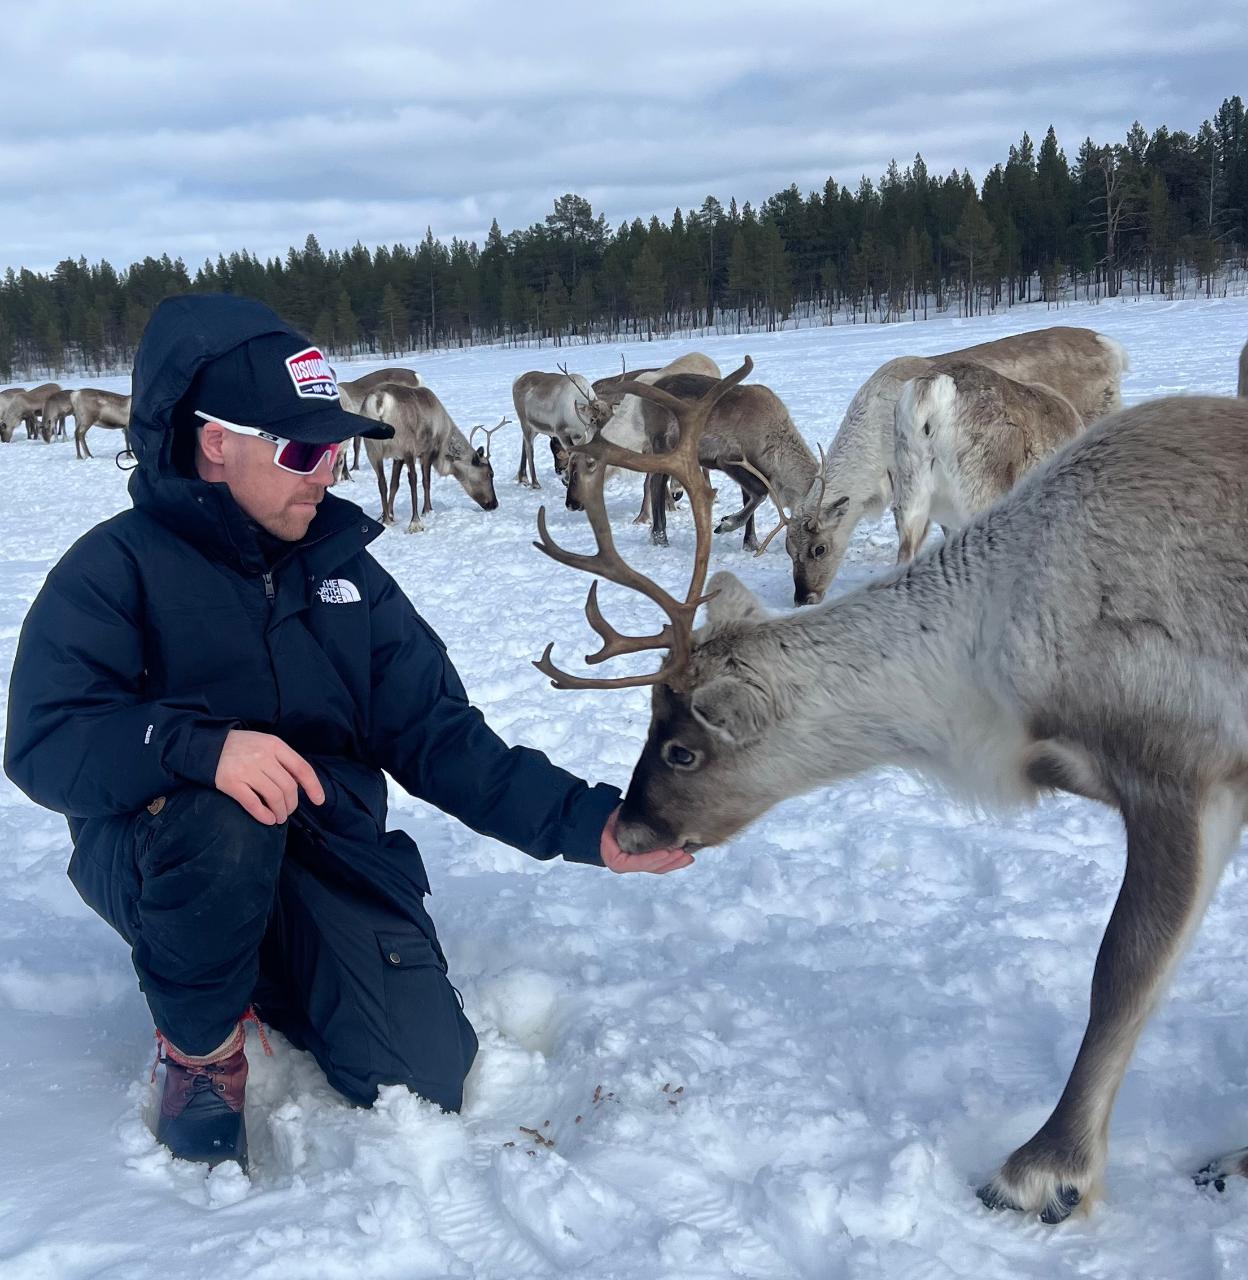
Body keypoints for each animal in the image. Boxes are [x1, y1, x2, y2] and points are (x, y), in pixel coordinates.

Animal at [357, 385, 501, 532]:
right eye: (490, 473)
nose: (495, 504)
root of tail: (379, 400)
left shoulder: (397, 457)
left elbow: (394, 485)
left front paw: (390, 515)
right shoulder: (427, 452)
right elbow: (426, 481)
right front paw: (427, 510)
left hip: (372, 449)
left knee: (382, 482)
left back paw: (386, 520)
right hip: (406, 445)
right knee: (412, 478)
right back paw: (415, 522)